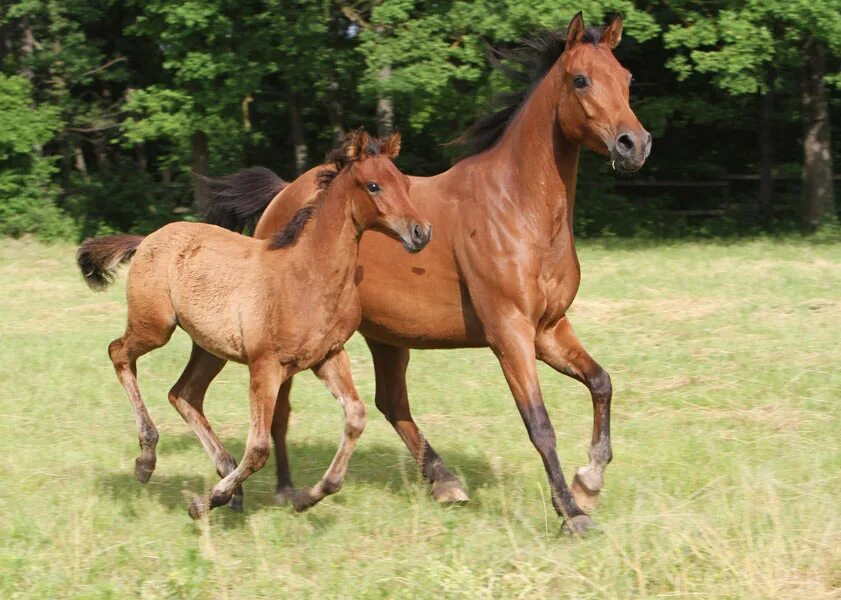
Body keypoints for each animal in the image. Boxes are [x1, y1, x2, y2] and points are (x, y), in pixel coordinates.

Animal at [74, 129, 430, 516]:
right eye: (373, 185)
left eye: (405, 183)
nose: (421, 232)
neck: (308, 274)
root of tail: (146, 240)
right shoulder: (265, 365)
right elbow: (259, 447)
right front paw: (205, 502)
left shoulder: (328, 356)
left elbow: (355, 417)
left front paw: (308, 496)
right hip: (155, 326)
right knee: (119, 353)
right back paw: (147, 459)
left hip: (209, 348)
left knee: (184, 394)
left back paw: (227, 476)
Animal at [200, 11, 648, 532]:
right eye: (580, 79)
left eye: (626, 78)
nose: (634, 144)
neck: (518, 208)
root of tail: (283, 194)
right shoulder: (510, 333)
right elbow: (540, 423)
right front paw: (571, 511)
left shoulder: (549, 329)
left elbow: (602, 382)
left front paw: (589, 481)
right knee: (284, 410)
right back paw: (284, 491)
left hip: (387, 334)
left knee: (390, 402)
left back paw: (444, 481)